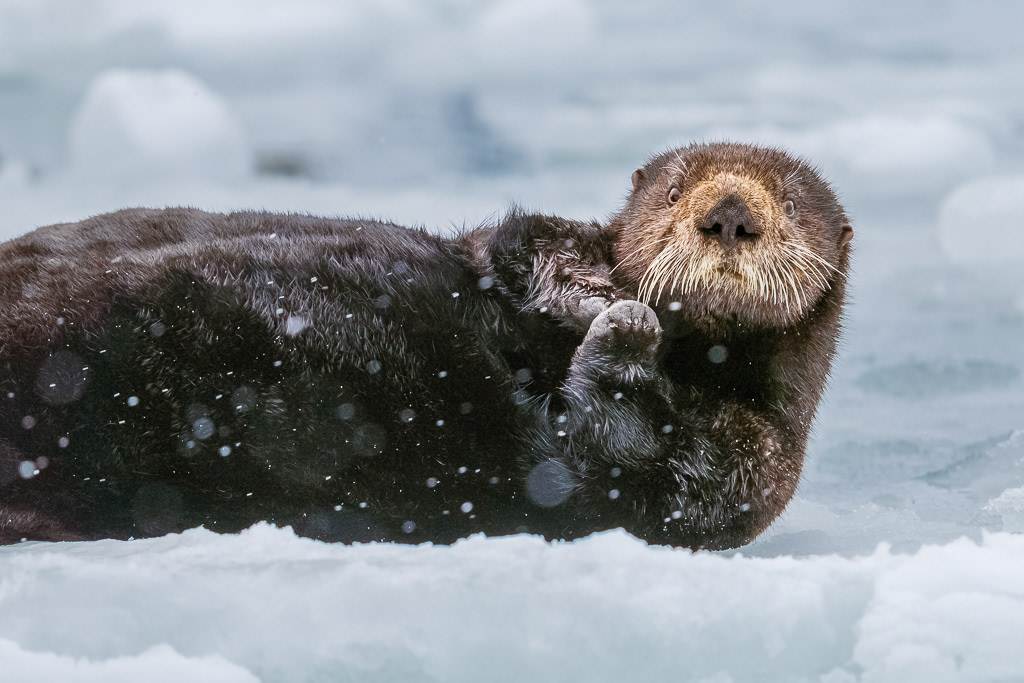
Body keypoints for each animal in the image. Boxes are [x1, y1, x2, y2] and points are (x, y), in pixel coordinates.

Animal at [0, 142, 851, 549]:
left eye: (791, 205)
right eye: (675, 190)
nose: (730, 212)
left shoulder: (747, 463)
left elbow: (609, 465)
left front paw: (622, 332)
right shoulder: (518, 243)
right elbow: (523, 245)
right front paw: (598, 297)